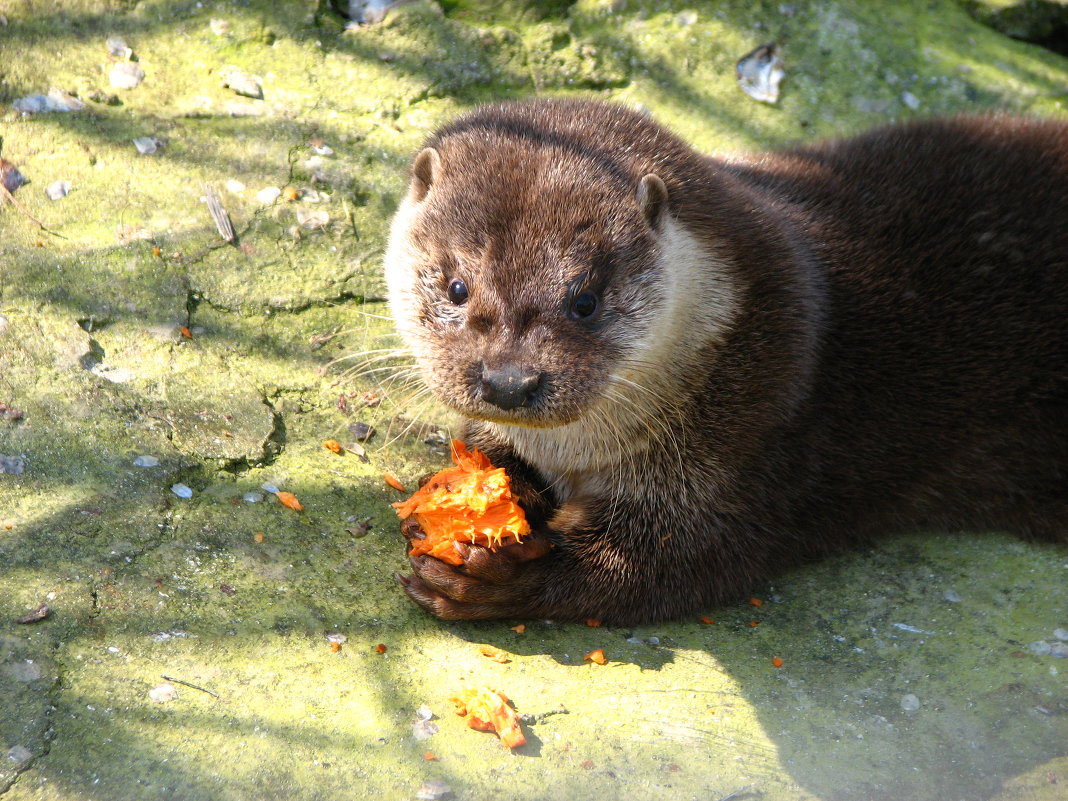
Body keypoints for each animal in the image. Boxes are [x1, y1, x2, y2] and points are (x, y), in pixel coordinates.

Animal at [384, 98, 1068, 627]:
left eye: (585, 301)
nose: (509, 381)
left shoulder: (755, 430)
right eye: (456, 287)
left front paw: (498, 579)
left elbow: (670, 560)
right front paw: (472, 499)